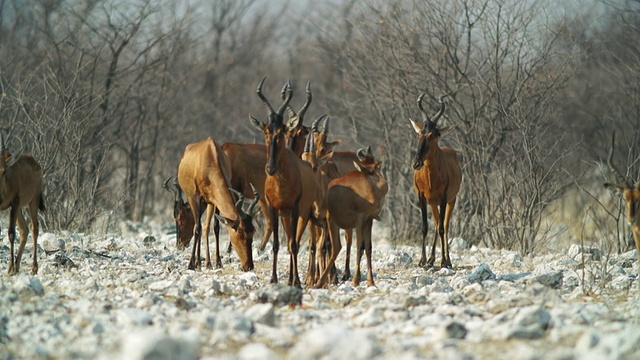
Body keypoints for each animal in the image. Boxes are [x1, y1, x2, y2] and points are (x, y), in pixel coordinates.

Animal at [0, 133, 45, 276]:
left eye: (4, 171)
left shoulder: (14, 202)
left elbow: (11, 233)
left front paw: (10, 268)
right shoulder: (13, 205)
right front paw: (12, 267)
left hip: (33, 200)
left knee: (35, 228)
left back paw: (33, 268)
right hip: (19, 207)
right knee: (24, 230)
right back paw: (16, 267)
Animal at [176, 136, 258, 272]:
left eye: (253, 232)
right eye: (240, 233)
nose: (248, 266)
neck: (210, 156)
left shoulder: (216, 202)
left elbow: (216, 227)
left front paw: (218, 263)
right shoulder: (197, 198)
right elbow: (197, 229)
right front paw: (191, 265)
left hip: (209, 203)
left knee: (206, 227)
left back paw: (205, 263)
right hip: (192, 198)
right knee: (198, 227)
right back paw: (197, 263)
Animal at [410, 94, 460, 268]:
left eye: (434, 134)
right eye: (420, 133)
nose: (416, 163)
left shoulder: (444, 198)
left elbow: (442, 228)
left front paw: (444, 261)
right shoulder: (421, 197)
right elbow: (425, 227)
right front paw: (422, 260)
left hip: (451, 200)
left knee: (444, 225)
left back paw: (448, 260)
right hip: (432, 203)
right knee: (438, 223)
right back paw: (431, 259)